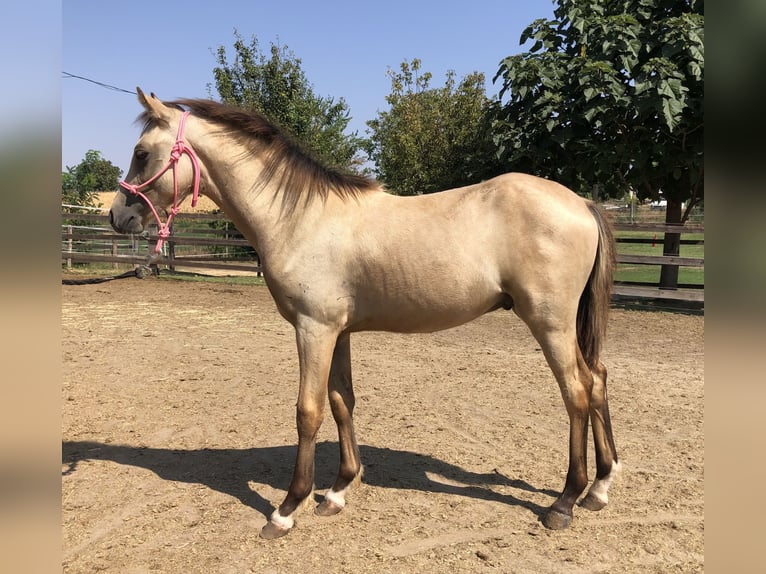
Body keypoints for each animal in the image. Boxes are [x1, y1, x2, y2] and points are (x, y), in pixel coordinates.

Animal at [109, 89, 624, 540]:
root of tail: (582, 203)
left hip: (549, 323)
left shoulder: (313, 329)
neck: (301, 218)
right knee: (597, 380)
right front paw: (337, 490)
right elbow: (343, 401)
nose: (118, 218)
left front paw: (287, 509)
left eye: (141, 153)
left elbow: (308, 411)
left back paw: (565, 502)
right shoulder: (339, 332)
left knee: (577, 393)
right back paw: (600, 487)